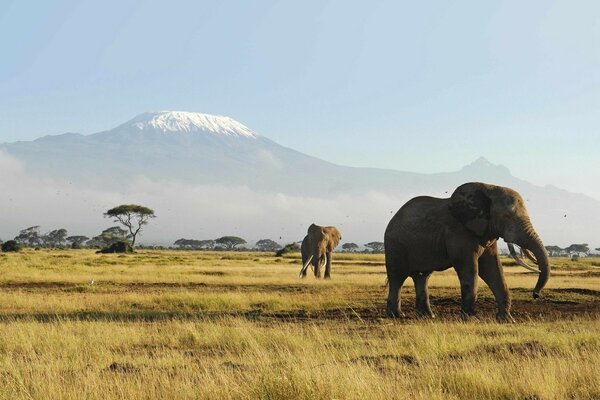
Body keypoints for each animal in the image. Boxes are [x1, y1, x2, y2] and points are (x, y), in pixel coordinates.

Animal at [384, 183, 548, 324]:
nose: (536, 295)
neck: (488, 189)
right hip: (394, 245)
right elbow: (470, 269)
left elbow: (492, 269)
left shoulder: (486, 231)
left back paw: (428, 316)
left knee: (422, 277)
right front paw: (471, 319)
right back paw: (396, 316)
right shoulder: (459, 233)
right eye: (506, 216)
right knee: (397, 278)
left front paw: (507, 320)